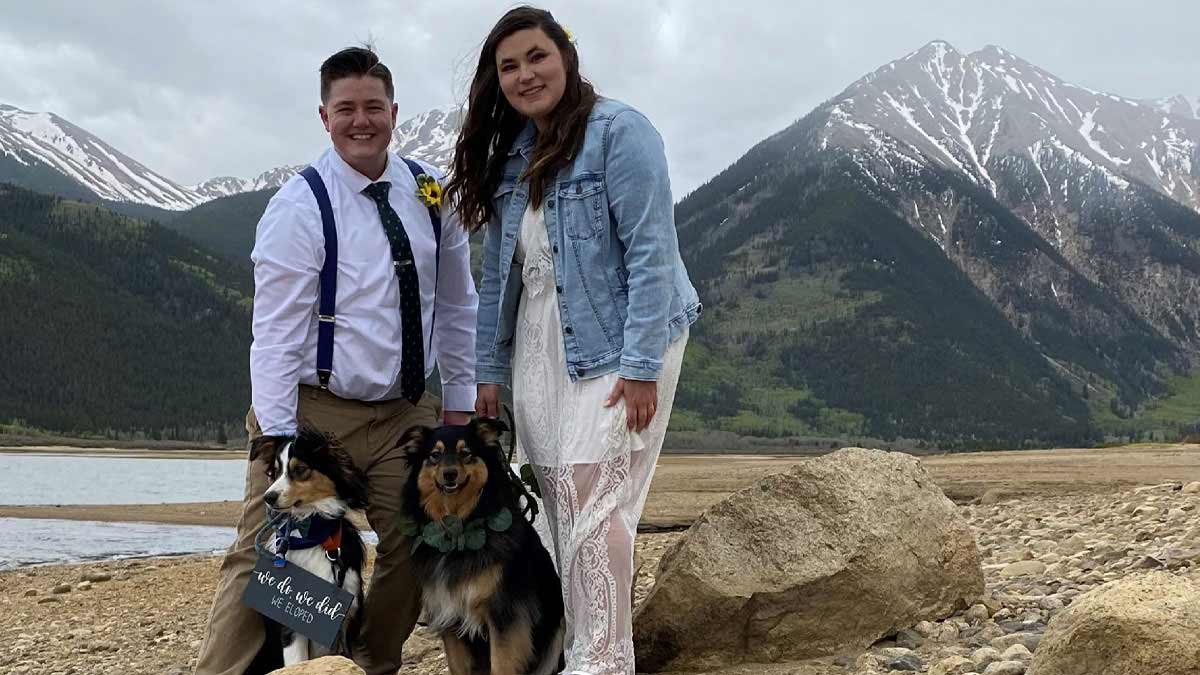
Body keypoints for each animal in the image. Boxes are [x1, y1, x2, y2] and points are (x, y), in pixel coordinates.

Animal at [254, 425, 362, 662]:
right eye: (275, 471)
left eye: (300, 469)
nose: (268, 497)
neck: (312, 536)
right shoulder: (292, 623)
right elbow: (296, 661)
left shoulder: (348, 618)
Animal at [396, 417, 559, 667]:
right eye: (435, 455)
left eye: (466, 453)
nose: (450, 474)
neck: (458, 527)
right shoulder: (449, 617)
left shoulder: (505, 617)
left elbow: (502, 665)